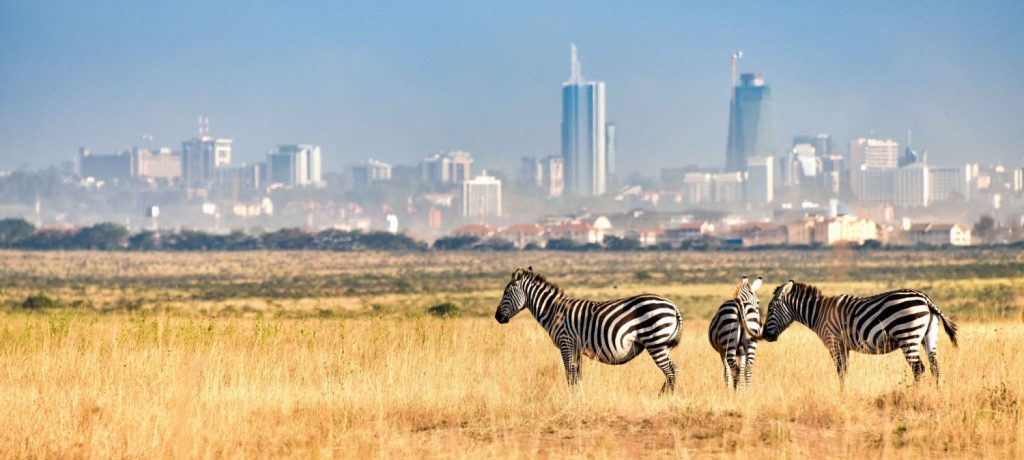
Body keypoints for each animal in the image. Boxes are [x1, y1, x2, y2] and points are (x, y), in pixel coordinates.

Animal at [493, 266, 684, 393]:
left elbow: (569, 374)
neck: (553, 310)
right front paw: (580, 397)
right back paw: (664, 396)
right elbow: (577, 375)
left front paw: (572, 399)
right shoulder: (576, 347)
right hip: (661, 344)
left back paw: (664, 398)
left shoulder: (566, 343)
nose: (497, 317)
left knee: (670, 371)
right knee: (673, 370)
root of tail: (673, 305)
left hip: (655, 341)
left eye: (506, 293)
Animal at [745, 278, 958, 385]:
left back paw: (914, 395)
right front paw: (845, 393)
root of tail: (925, 299)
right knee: (935, 367)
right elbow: (845, 371)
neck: (818, 313)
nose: (766, 336)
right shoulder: (844, 346)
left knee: (918, 369)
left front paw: (841, 395)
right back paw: (936, 395)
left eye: (770, 309)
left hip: (908, 335)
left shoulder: (833, 342)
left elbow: (840, 371)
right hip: (928, 336)